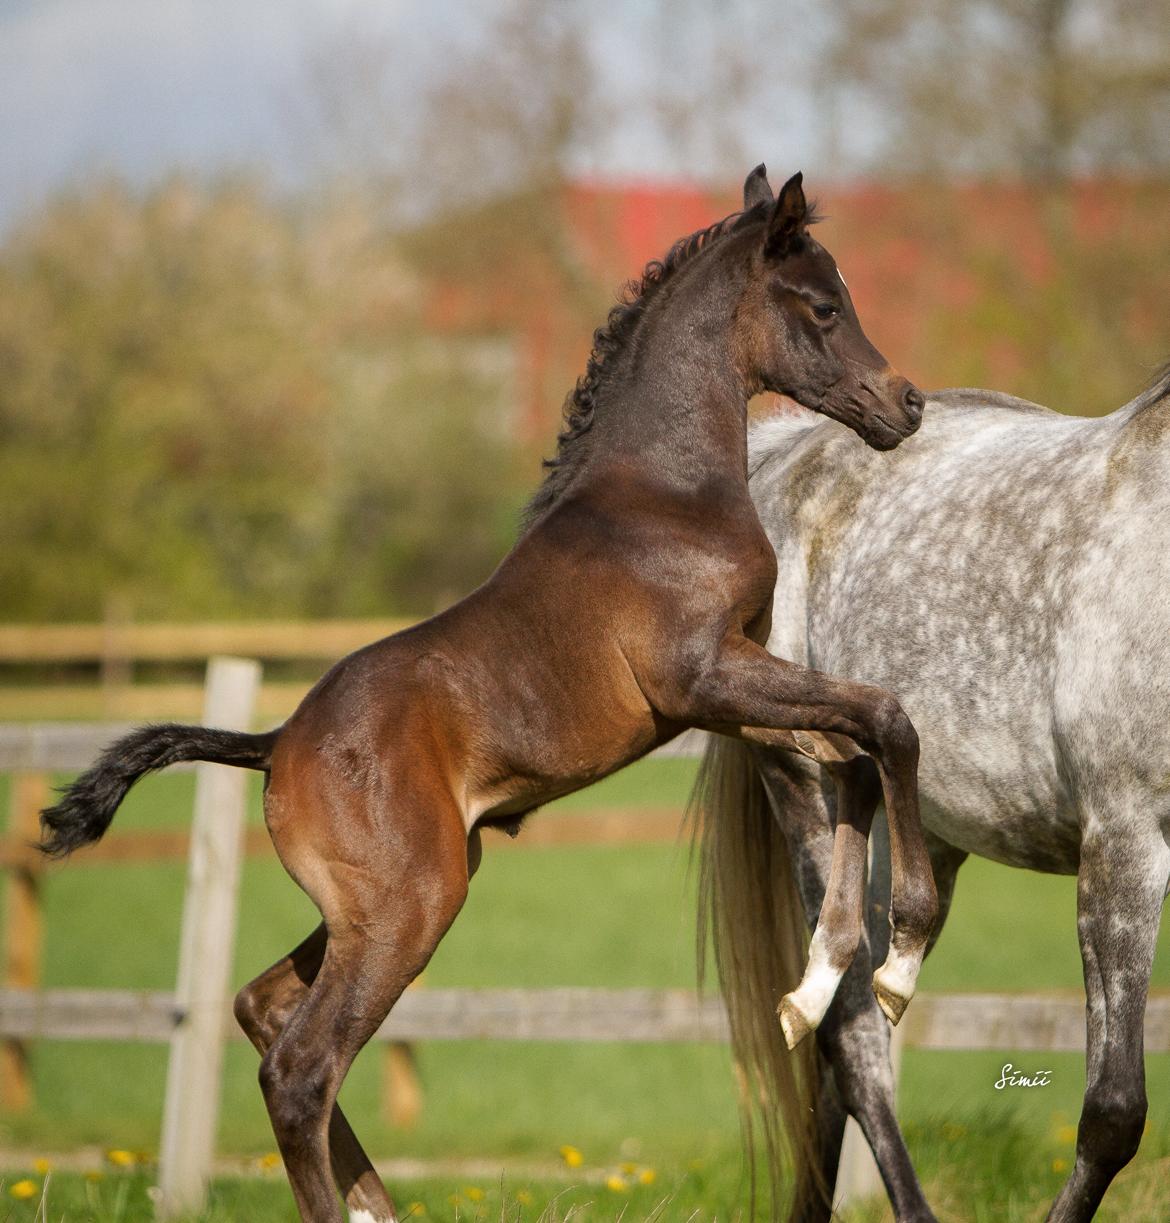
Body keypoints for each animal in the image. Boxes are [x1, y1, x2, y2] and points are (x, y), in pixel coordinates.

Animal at [40, 165, 938, 1223]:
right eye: (824, 306)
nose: (907, 403)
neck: (665, 491)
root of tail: (276, 742)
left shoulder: (732, 691)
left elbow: (855, 759)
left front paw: (821, 979)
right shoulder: (706, 675)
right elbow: (886, 719)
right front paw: (902, 951)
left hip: (377, 904)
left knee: (262, 1007)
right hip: (413, 905)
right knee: (301, 1067)